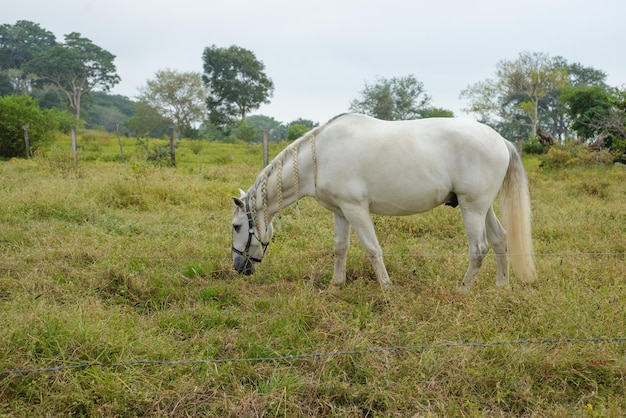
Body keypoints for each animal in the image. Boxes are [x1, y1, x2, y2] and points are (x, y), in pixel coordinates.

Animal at [232, 112, 532, 292]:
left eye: (236, 227)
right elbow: (340, 248)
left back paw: (462, 290)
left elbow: (372, 249)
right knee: (500, 240)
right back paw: (501, 286)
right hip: (483, 207)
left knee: (478, 249)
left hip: (473, 208)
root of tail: (501, 140)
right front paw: (336, 285)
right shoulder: (341, 212)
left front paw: (386, 289)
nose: (238, 268)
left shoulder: (356, 209)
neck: (319, 158)